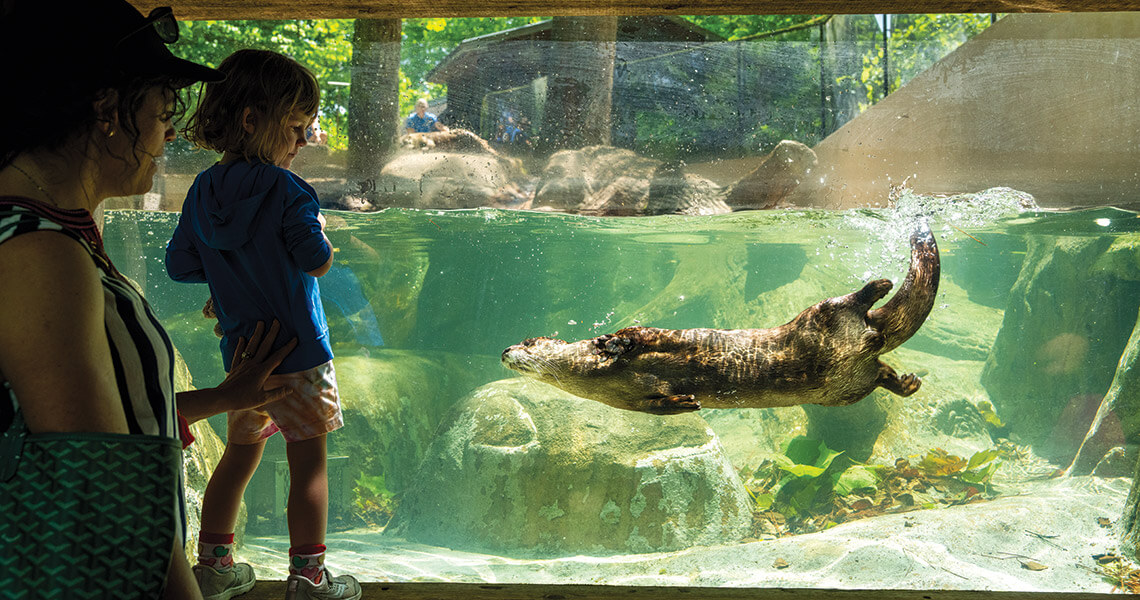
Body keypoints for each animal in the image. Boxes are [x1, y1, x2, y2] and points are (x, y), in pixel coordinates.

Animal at [502, 222, 940, 415]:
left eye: (527, 341)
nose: (505, 350)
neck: (591, 377)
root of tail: (871, 334)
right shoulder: (635, 404)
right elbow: (659, 406)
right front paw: (687, 402)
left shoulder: (650, 337)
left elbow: (640, 333)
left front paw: (614, 342)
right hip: (844, 388)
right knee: (880, 370)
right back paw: (906, 382)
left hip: (816, 318)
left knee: (842, 303)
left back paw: (877, 285)